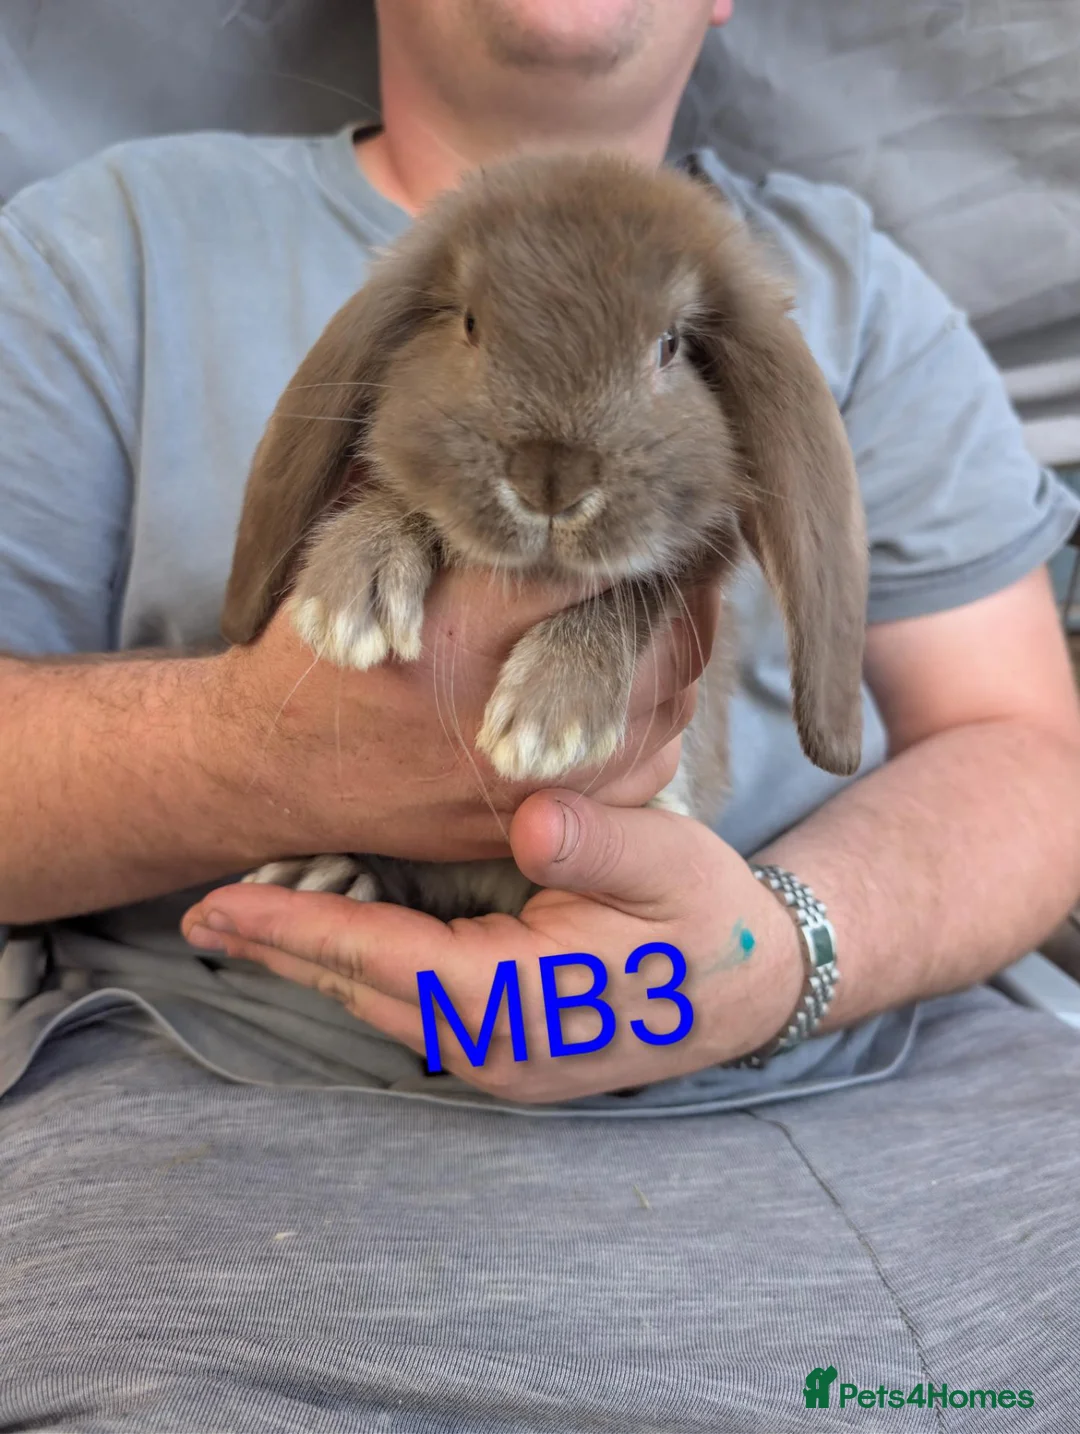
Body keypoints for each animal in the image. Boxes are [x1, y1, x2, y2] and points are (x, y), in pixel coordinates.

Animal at [220, 149, 868, 920]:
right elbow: (402, 495)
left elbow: (637, 590)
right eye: (470, 324)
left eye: (669, 345)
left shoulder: (691, 564)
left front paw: (549, 719)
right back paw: (326, 874)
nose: (550, 475)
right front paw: (350, 595)